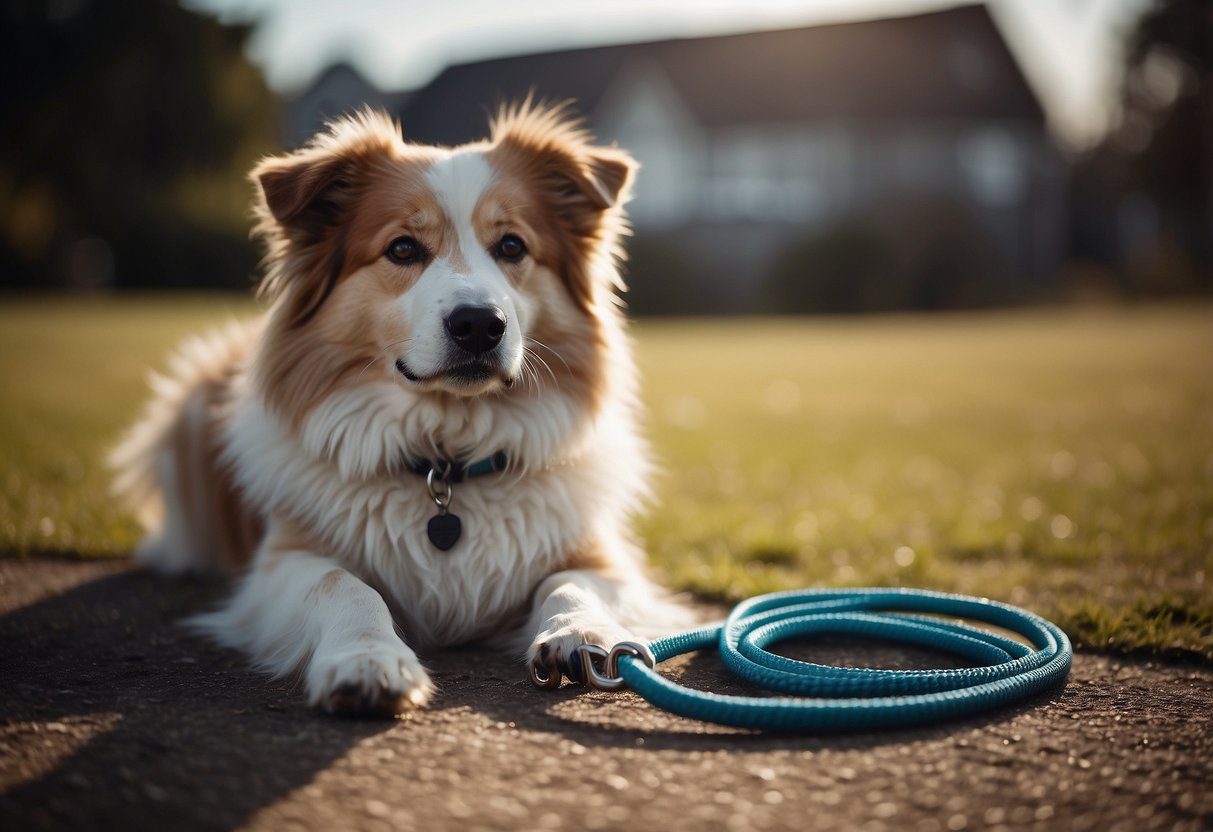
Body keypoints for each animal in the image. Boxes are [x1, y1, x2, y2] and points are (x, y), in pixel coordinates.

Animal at [112, 102, 684, 717]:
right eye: (403, 248)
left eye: (512, 246)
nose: (479, 324)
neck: (447, 461)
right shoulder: (283, 563)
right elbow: (346, 586)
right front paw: (367, 659)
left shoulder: (601, 556)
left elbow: (572, 583)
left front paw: (583, 632)